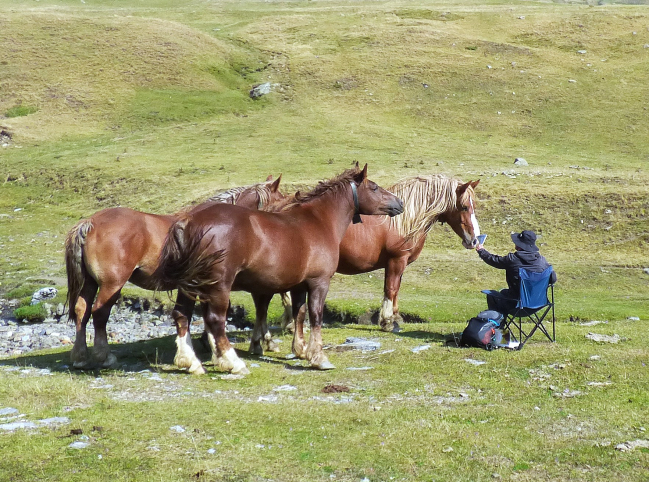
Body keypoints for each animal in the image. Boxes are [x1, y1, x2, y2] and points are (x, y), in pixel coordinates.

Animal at [64, 177, 284, 370]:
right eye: (282, 200)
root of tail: (90, 223)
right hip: (112, 284)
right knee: (99, 314)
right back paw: (105, 356)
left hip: (91, 283)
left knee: (82, 311)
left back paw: (80, 357)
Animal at [153, 164, 404, 374]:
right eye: (374, 187)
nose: (399, 203)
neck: (319, 222)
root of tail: (189, 221)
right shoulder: (319, 282)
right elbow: (316, 315)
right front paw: (318, 357)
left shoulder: (298, 285)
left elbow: (299, 314)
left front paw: (300, 350)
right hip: (218, 286)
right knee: (215, 320)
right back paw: (234, 363)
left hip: (190, 285)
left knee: (182, 316)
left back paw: (190, 362)